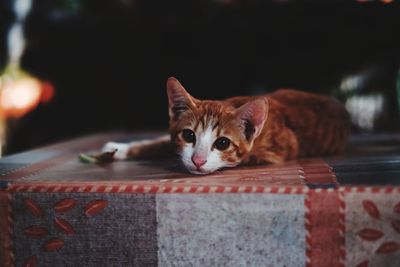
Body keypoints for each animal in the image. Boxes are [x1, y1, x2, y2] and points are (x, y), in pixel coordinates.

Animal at [103, 77, 350, 176]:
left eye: (222, 143)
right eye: (189, 135)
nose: (198, 161)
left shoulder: (274, 152)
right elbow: (162, 141)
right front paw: (120, 148)